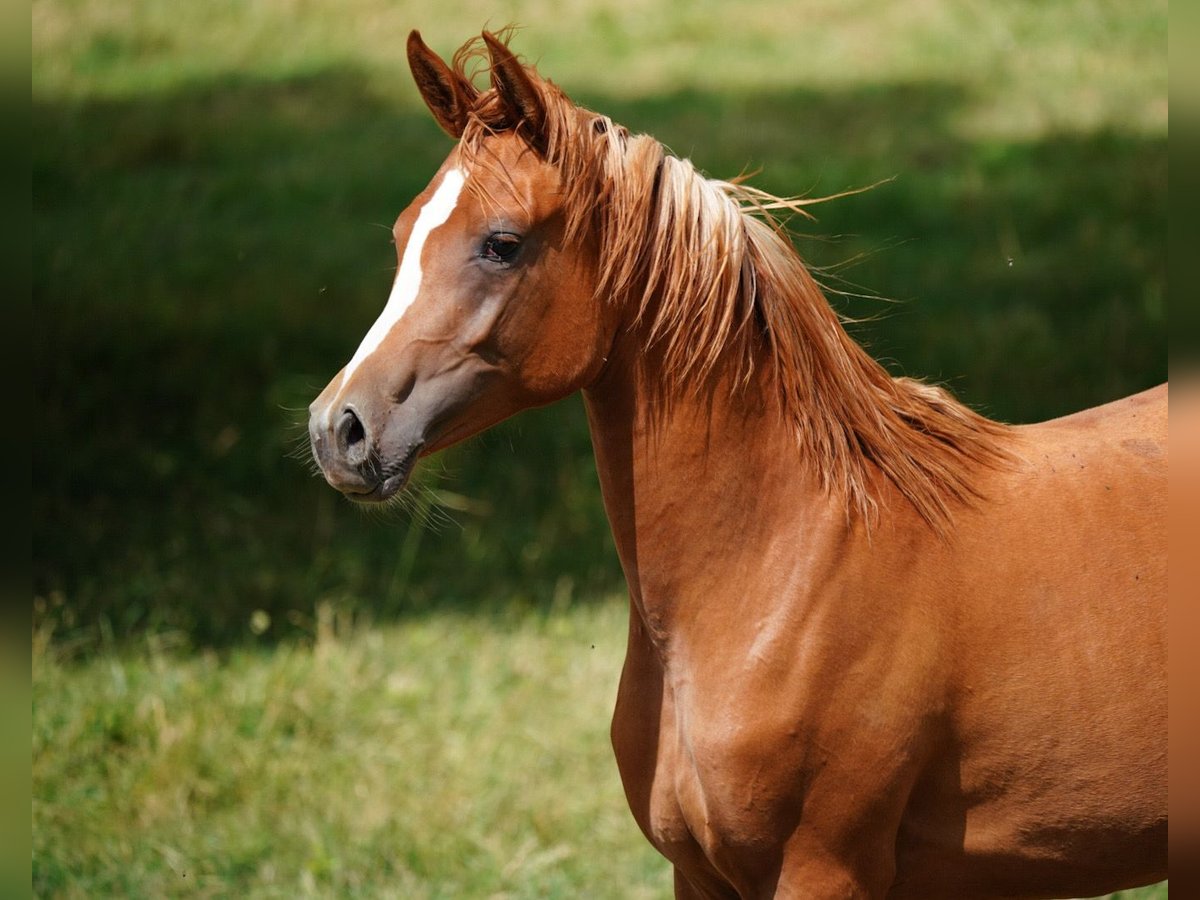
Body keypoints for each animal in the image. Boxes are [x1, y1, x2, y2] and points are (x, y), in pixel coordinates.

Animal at [304, 30, 1166, 900]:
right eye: (403, 235)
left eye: (502, 244)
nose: (338, 429)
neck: (788, 563)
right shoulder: (698, 873)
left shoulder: (824, 871)